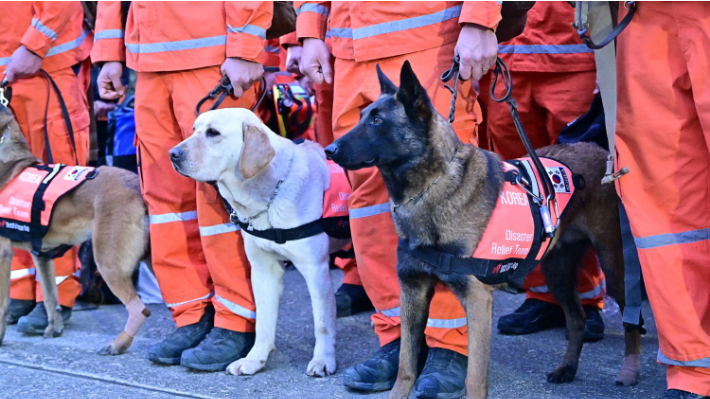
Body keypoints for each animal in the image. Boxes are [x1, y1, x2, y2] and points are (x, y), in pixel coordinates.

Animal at [0, 107, 152, 356]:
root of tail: (136, 184)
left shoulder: (3, 254)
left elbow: (3, 304)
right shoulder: (41, 255)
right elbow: (51, 298)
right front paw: (54, 329)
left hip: (108, 262)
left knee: (139, 309)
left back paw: (118, 344)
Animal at [326, 61, 644, 398]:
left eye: (377, 120)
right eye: (362, 116)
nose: (329, 149)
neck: (430, 187)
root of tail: (599, 151)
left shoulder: (477, 299)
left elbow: (474, 377)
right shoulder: (412, 293)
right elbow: (405, 368)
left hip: (614, 267)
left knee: (630, 317)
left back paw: (630, 369)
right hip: (556, 272)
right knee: (577, 318)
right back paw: (567, 368)